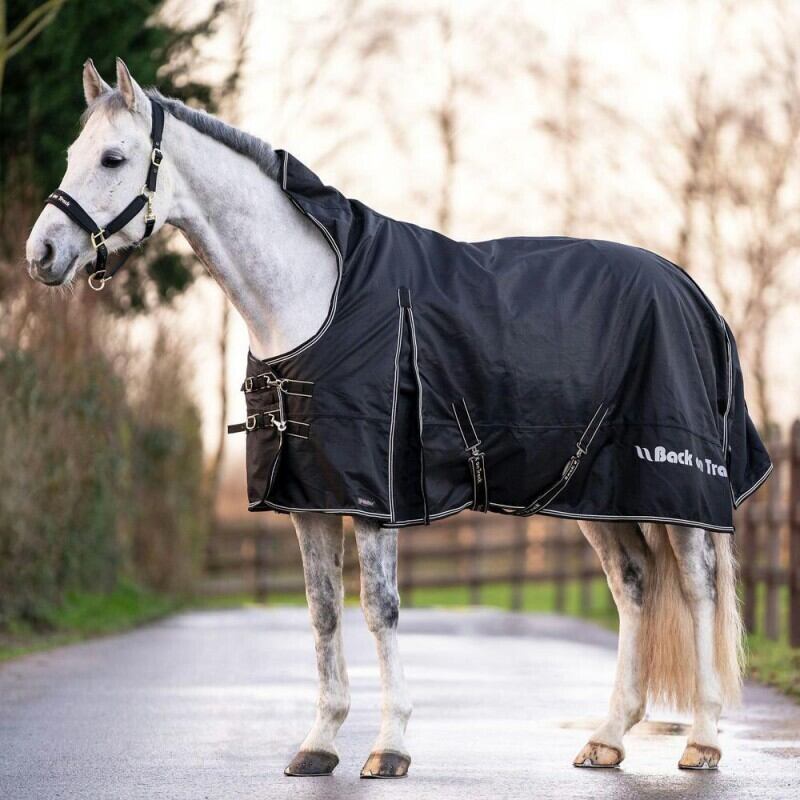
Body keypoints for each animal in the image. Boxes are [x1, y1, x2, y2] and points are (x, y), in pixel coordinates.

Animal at [25, 58, 767, 777]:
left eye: (114, 158)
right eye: (71, 154)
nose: (42, 255)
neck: (317, 294)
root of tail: (692, 292)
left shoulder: (377, 494)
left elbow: (379, 612)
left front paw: (390, 747)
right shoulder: (309, 498)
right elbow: (323, 614)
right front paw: (319, 744)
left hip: (676, 489)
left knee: (697, 591)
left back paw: (703, 741)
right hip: (593, 493)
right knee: (635, 586)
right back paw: (608, 738)